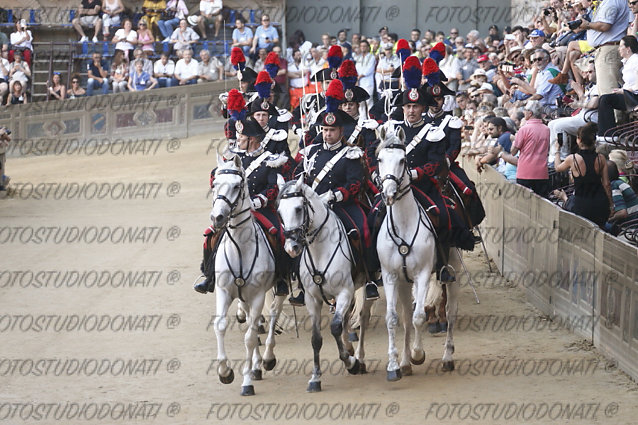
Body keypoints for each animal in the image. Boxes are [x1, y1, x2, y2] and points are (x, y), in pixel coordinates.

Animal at [212, 154, 284, 396]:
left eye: (237, 186)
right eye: (215, 184)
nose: (217, 218)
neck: (241, 248)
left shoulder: (258, 295)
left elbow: (250, 338)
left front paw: (246, 382)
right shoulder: (224, 291)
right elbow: (220, 326)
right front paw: (225, 371)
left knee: (273, 314)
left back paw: (267, 359)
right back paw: (257, 365)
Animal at [278, 176, 372, 390]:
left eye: (298, 209)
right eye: (279, 211)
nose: (291, 247)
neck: (320, 250)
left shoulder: (344, 292)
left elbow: (335, 327)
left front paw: (351, 363)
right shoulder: (313, 299)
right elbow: (316, 338)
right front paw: (315, 377)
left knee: (362, 318)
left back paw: (360, 358)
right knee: (347, 318)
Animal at [378, 124, 458, 380]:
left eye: (403, 160)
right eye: (379, 159)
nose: (389, 193)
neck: (404, 223)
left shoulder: (423, 274)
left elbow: (419, 317)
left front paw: (418, 354)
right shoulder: (391, 276)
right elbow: (394, 319)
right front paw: (395, 364)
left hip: (452, 271)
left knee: (450, 312)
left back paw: (447, 357)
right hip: (404, 283)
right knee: (404, 318)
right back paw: (405, 362)